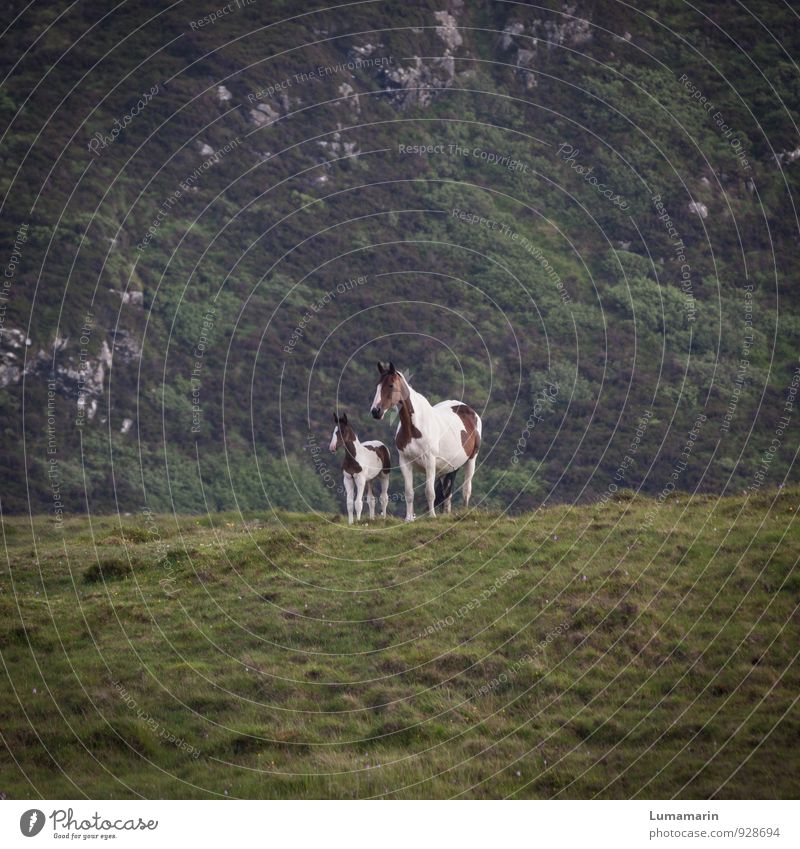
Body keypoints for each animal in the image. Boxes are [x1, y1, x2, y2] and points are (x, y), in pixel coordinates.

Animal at [370, 362, 482, 520]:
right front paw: (408, 519)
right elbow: (409, 492)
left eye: (391, 385)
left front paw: (432, 516)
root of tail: (470, 411)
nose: (376, 411)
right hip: (449, 467)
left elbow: (429, 492)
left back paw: (464, 512)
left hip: (471, 460)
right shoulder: (405, 462)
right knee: (447, 493)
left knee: (466, 490)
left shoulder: (430, 461)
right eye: (377, 385)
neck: (414, 428)